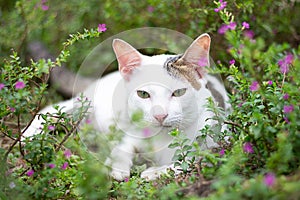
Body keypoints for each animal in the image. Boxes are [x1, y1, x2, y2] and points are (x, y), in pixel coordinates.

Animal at [23, 33, 230, 180]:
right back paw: (28, 136)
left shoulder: (219, 144)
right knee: (54, 108)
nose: (160, 116)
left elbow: (191, 160)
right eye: (143, 94)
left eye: (179, 92)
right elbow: (122, 147)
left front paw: (156, 171)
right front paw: (117, 166)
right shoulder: (131, 132)